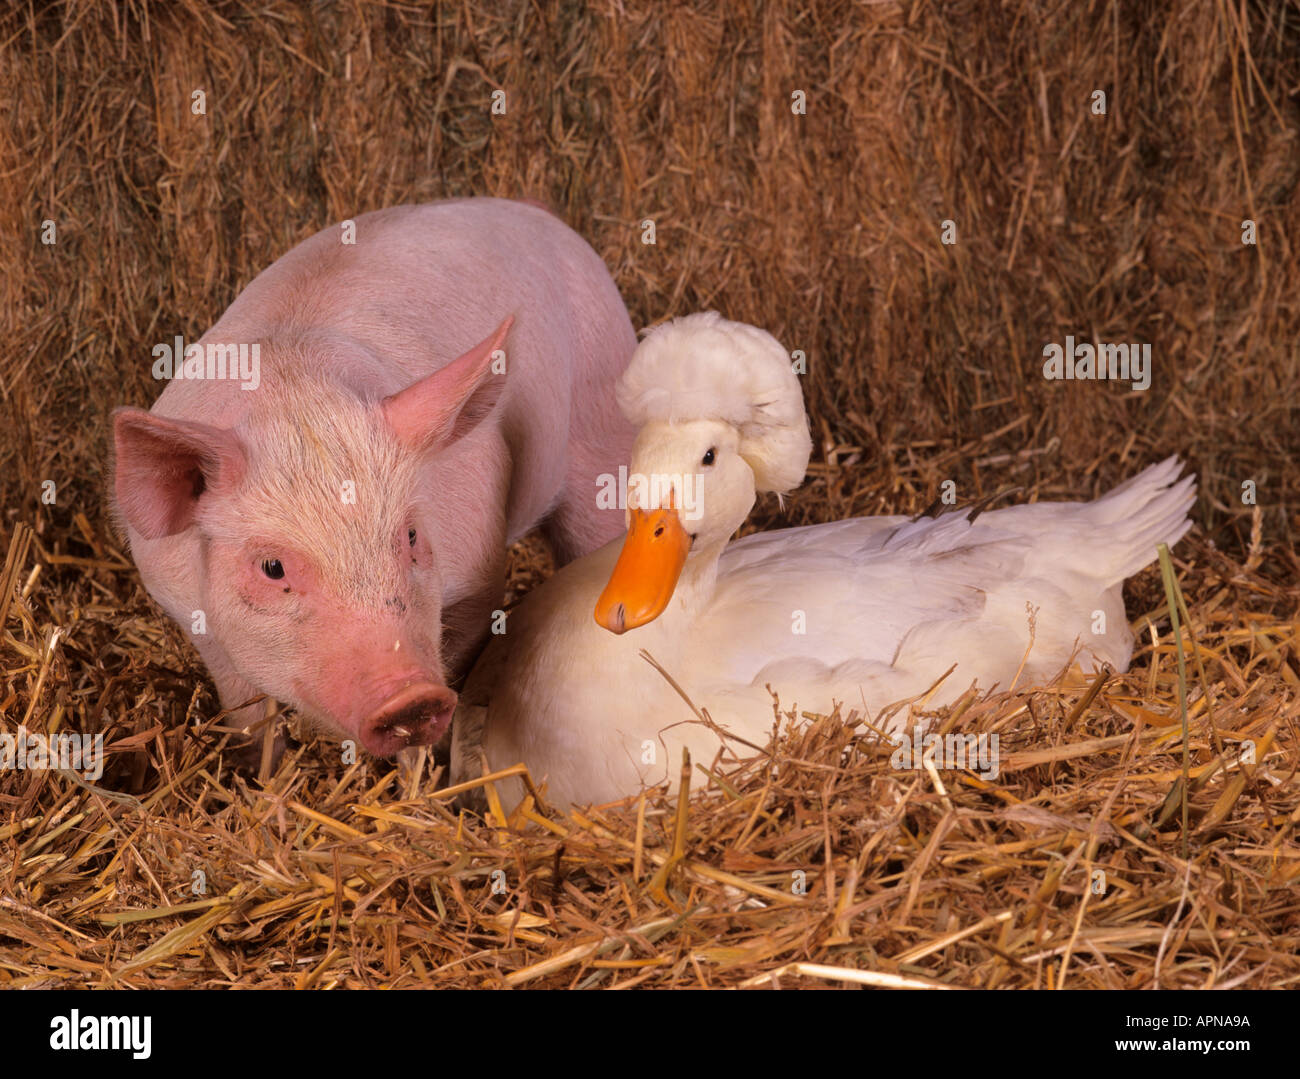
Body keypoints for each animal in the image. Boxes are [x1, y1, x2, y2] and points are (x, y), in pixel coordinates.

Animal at [114, 200, 631, 759]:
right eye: (272, 567)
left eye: (411, 535)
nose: (411, 697)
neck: (295, 396)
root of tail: (539, 214)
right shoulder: (191, 616)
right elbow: (249, 717)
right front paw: (260, 772)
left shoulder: (479, 571)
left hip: (601, 431)